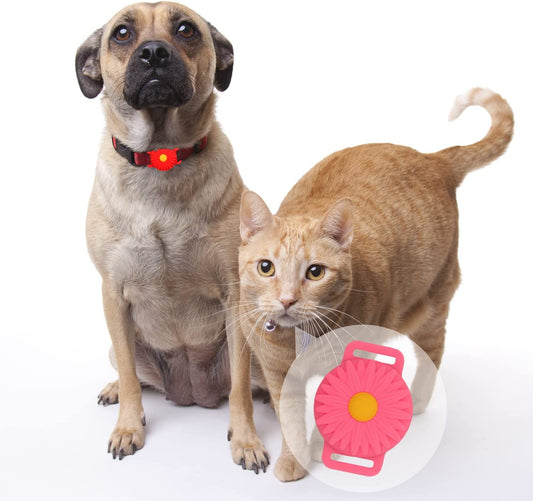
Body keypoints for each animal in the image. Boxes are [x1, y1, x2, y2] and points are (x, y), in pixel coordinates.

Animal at [76, 2, 244, 460]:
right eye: (121, 33)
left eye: (186, 30)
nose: (153, 53)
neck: (160, 157)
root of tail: (192, 391)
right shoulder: (113, 294)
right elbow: (132, 378)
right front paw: (128, 427)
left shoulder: (235, 290)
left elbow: (240, 388)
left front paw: (248, 439)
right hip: (124, 343)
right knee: (133, 373)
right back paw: (116, 388)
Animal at [227, 88, 513, 481]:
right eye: (266, 268)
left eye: (315, 273)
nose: (287, 300)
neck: (301, 338)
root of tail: (434, 158)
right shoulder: (278, 374)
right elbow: (291, 420)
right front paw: (294, 461)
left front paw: (321, 446)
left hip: (431, 303)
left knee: (433, 351)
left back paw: (417, 399)